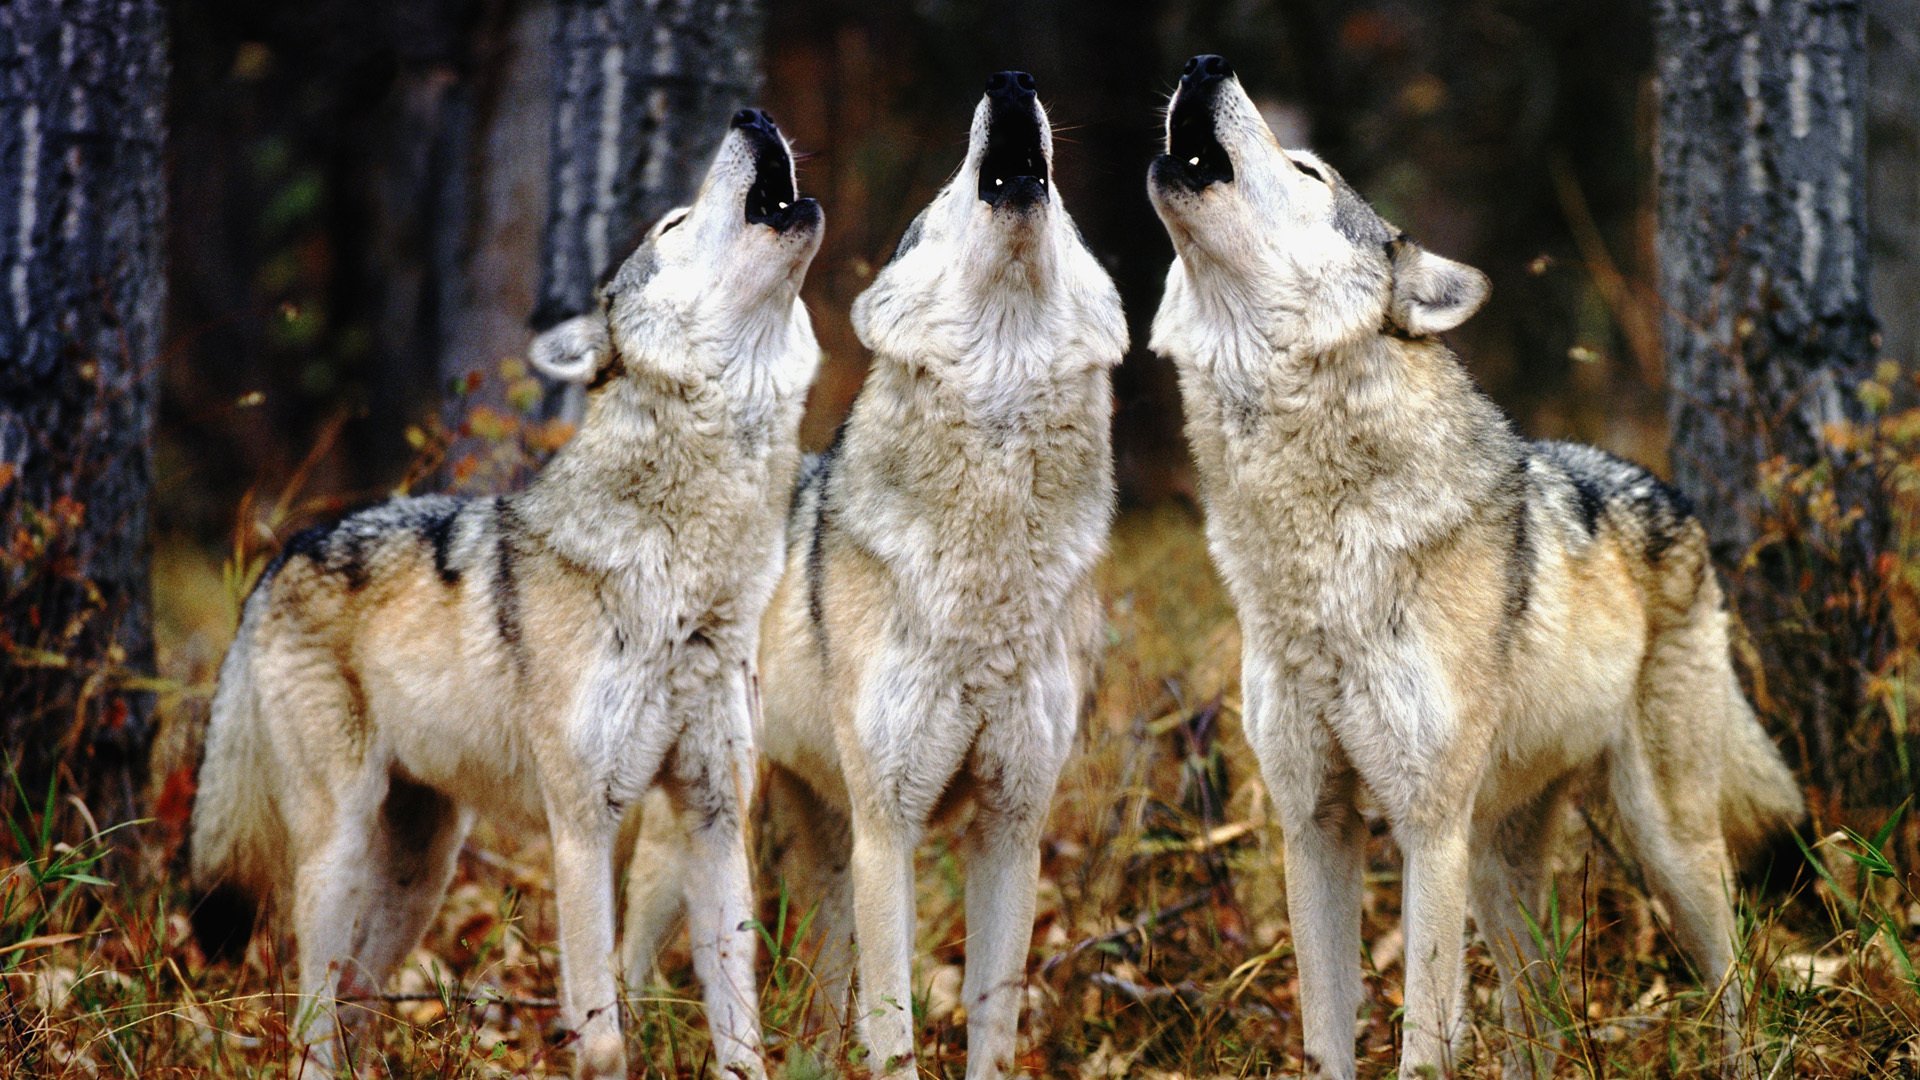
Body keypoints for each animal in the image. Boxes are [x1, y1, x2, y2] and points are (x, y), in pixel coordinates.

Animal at [187, 108, 823, 1080]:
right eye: (673, 224)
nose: (751, 117)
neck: (690, 583)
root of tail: (285, 550)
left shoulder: (714, 816)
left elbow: (741, 1033)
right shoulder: (583, 826)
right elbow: (602, 1035)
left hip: (423, 869)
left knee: (359, 997)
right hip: (337, 852)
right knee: (312, 1019)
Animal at [621, 71, 1127, 1079]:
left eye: (1069, 212)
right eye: (944, 194)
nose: (1011, 82)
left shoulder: (1012, 828)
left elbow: (992, 1027)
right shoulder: (890, 830)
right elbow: (894, 1032)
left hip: (824, 846)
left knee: (818, 1007)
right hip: (707, 832)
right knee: (626, 960)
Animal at [1146, 55, 1805, 1079]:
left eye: (1306, 169)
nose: (1204, 66)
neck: (1314, 549)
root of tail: (1672, 492)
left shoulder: (1429, 830)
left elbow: (1424, 1041)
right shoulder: (1314, 824)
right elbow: (1327, 1036)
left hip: (1663, 843)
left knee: (1734, 981)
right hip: (1501, 870)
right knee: (1544, 1026)